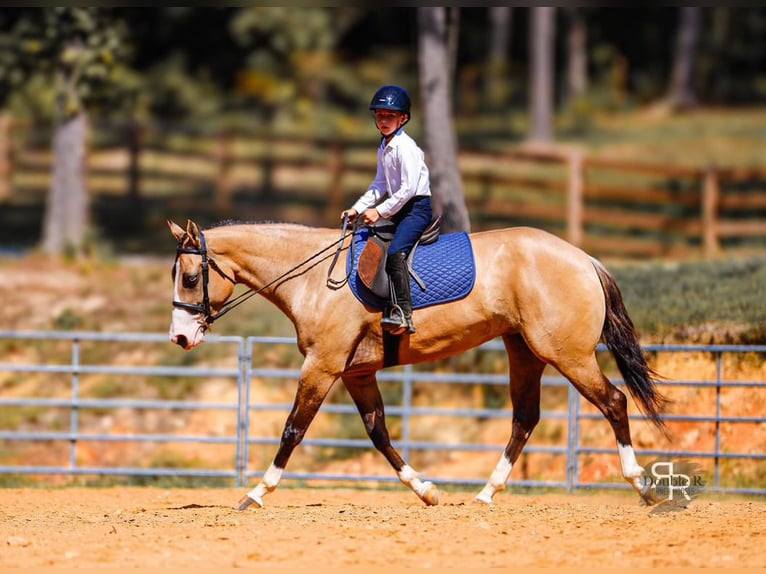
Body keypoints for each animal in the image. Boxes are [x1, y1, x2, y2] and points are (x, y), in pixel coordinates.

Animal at [167, 218, 668, 510]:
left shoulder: (323, 366)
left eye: (190, 278)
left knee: (614, 402)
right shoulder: (356, 373)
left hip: (566, 355)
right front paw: (426, 490)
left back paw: (642, 486)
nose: (180, 337)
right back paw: (486, 493)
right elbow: (379, 434)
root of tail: (583, 258)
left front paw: (255, 493)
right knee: (525, 418)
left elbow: (294, 428)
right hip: (524, 352)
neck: (312, 278)